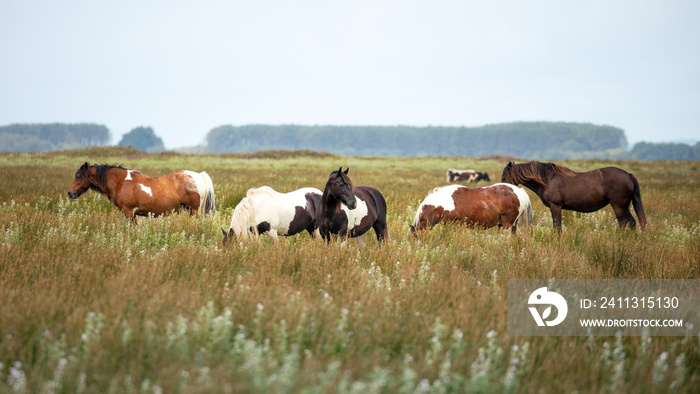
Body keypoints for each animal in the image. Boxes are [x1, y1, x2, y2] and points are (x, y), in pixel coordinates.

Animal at [69, 162, 216, 220]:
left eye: (78, 176)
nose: (70, 193)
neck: (120, 182)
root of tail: (199, 175)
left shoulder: (129, 212)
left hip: (194, 211)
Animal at [500, 161, 648, 231]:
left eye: (504, 177)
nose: (502, 189)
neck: (548, 180)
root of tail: (628, 175)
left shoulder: (555, 206)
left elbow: (557, 227)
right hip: (624, 207)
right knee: (632, 223)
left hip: (618, 206)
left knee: (625, 223)